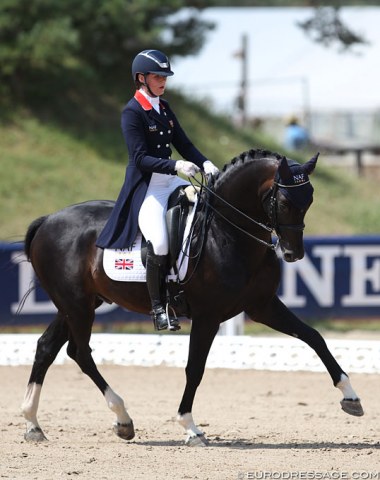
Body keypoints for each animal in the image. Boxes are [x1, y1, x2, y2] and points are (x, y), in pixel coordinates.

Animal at [22, 149, 364, 446]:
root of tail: (48, 220)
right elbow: (195, 368)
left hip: (79, 303)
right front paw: (190, 427)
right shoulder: (207, 316)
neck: (226, 232)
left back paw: (33, 425)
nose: (293, 253)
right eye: (283, 199)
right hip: (77, 304)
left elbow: (313, 337)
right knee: (80, 352)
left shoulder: (262, 306)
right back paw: (123, 419)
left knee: (47, 348)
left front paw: (350, 397)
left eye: (310, 198)